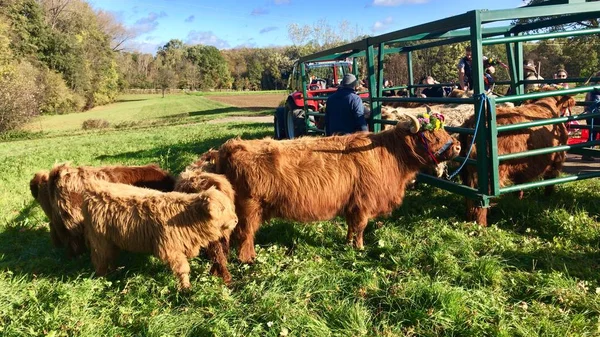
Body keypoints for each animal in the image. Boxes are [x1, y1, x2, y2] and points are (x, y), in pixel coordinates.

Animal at [83, 180, 238, 288]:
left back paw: (115, 272)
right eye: (222, 208)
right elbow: (183, 269)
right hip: (99, 240)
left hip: (111, 240)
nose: (236, 220)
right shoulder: (171, 249)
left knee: (112, 256)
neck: (187, 217)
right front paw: (186, 288)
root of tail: (92, 190)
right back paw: (102, 279)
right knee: (100, 259)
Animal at [204, 113, 462, 262]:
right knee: (245, 234)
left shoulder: (352, 204)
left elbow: (351, 226)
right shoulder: (363, 202)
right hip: (248, 210)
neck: (388, 155)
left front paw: (348, 244)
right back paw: (248, 259)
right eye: (431, 135)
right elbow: (360, 227)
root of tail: (228, 147)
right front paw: (359, 248)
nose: (458, 146)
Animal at [460, 94, 572, 224]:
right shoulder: (556, 160)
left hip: (466, 172)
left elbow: (519, 186)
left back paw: (469, 219)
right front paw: (547, 198)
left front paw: (518, 199)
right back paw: (482, 224)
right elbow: (550, 182)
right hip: (488, 174)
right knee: (481, 202)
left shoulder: (521, 168)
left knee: (469, 197)